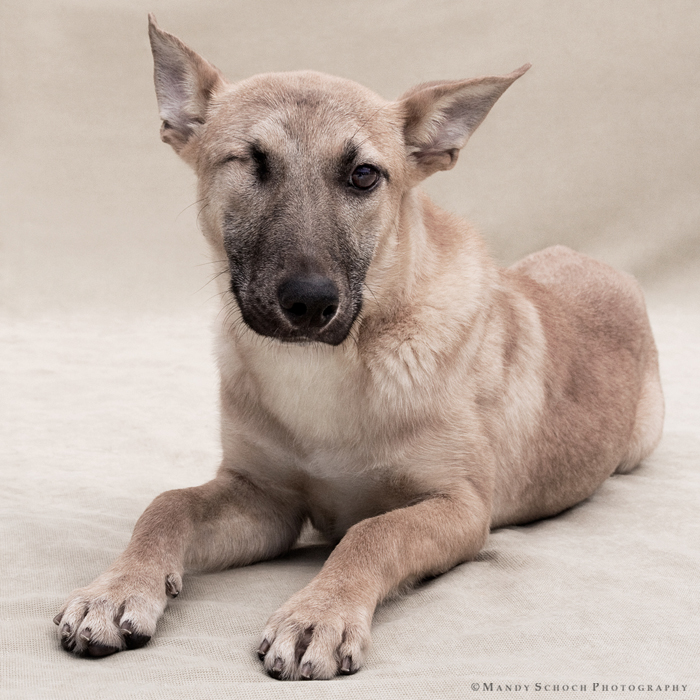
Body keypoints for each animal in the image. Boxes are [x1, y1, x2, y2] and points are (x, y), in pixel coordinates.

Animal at [53, 15, 664, 681]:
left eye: (364, 175)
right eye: (252, 161)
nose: (310, 303)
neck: (326, 367)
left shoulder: (459, 508)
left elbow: (370, 534)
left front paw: (319, 614)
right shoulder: (264, 500)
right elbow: (166, 505)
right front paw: (117, 589)